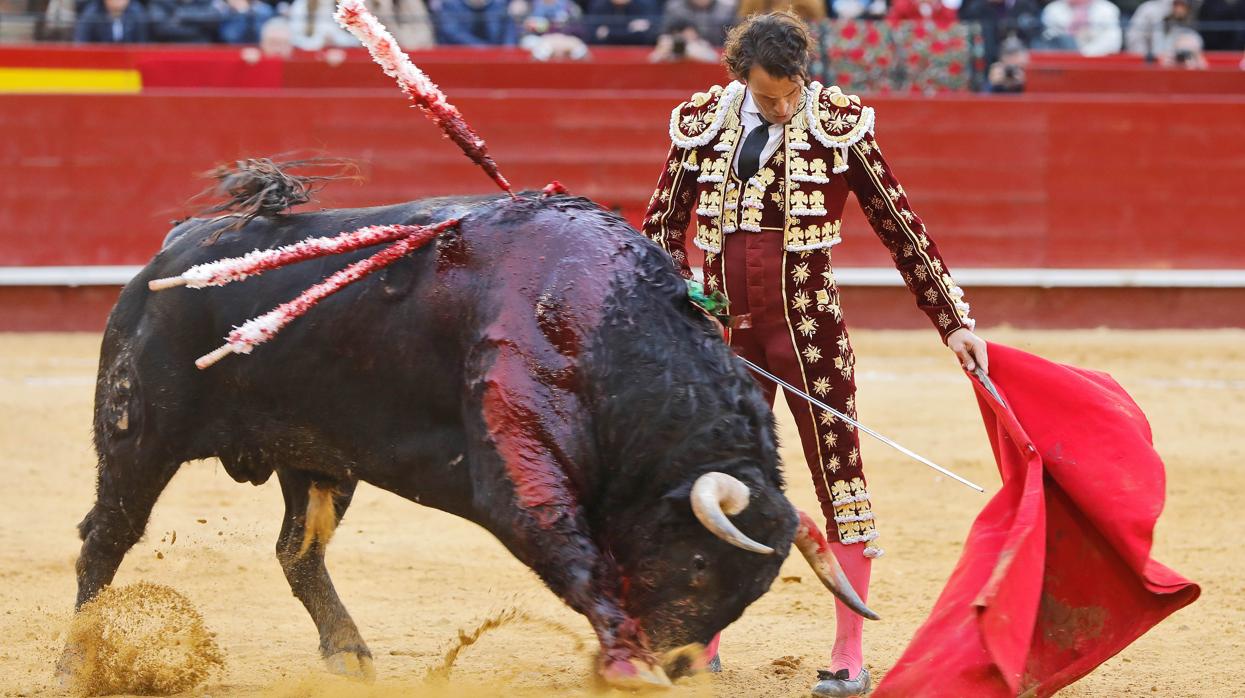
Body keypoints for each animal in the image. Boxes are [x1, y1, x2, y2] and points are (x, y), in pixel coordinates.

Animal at [65, 190, 866, 686]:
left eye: (750, 594)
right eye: (698, 567)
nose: (674, 659)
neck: (604, 319)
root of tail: (176, 246)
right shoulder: (519, 462)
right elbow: (568, 549)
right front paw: (626, 665)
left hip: (316, 454)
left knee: (297, 552)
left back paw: (349, 654)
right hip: (139, 436)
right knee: (105, 538)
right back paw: (76, 662)